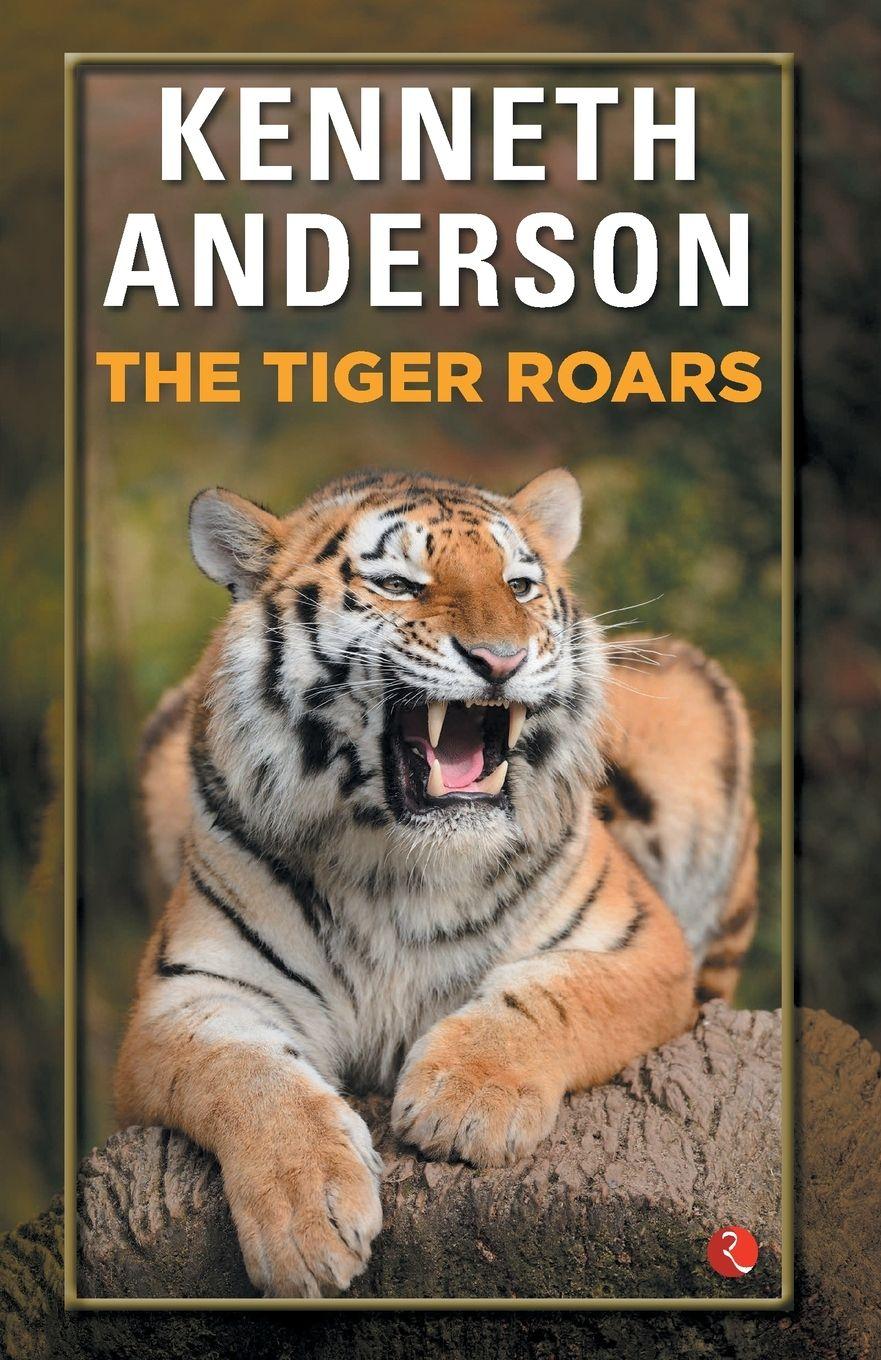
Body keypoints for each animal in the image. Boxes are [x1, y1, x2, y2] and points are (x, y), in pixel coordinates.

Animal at [117, 467, 758, 1299]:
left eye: (519, 585)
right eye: (397, 584)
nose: (501, 659)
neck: (396, 862)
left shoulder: (638, 944)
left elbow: (550, 993)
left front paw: (467, 1103)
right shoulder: (188, 992)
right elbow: (248, 1071)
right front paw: (304, 1223)